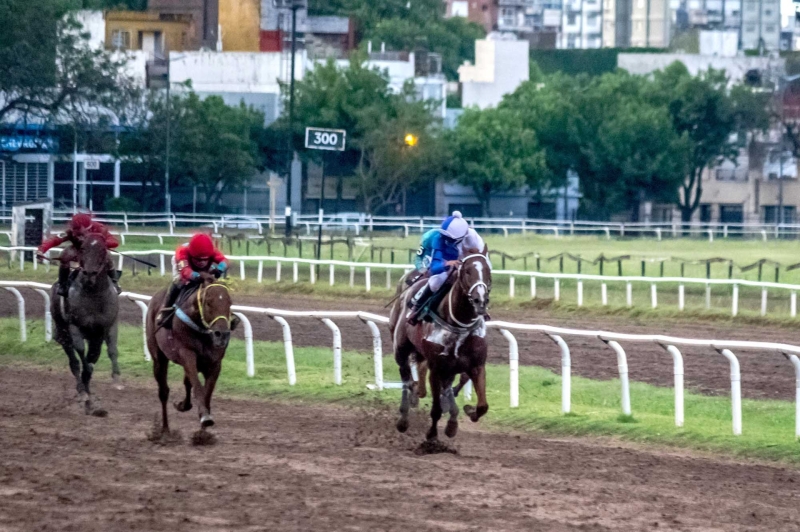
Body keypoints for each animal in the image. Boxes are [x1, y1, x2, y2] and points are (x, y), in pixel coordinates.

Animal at [50, 233, 120, 416]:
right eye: (83, 248)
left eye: (102, 249)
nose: (89, 273)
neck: (94, 294)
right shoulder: (75, 327)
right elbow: (82, 354)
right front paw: (84, 388)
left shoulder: (105, 327)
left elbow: (109, 351)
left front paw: (116, 379)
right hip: (63, 332)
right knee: (74, 362)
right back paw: (83, 393)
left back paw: (89, 400)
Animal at [145, 272, 239, 438]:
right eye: (208, 302)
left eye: (229, 302)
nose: (222, 335)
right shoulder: (187, 354)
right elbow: (198, 387)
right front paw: (205, 417)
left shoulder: (215, 363)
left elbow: (207, 392)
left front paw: (203, 432)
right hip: (158, 357)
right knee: (163, 391)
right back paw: (165, 429)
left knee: (186, 382)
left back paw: (183, 405)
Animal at [390, 251, 494, 442]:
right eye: (467, 271)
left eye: (488, 271)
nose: (480, 300)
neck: (459, 323)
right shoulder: (436, 368)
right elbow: (436, 409)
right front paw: (432, 435)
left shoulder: (476, 365)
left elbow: (483, 405)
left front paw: (467, 411)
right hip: (400, 350)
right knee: (406, 379)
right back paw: (404, 417)